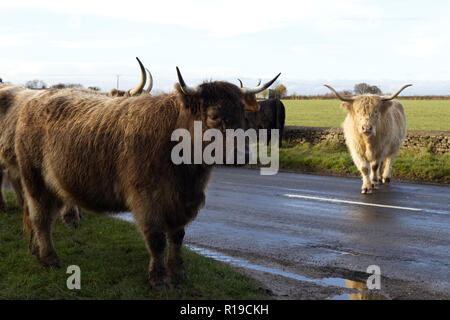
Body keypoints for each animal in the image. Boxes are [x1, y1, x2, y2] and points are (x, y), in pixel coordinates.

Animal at [15, 67, 280, 288]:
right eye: (214, 115)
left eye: (243, 114)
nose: (243, 154)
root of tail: (34, 100)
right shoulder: (147, 199)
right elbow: (157, 239)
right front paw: (159, 278)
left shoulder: (181, 202)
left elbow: (177, 237)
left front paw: (179, 272)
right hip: (34, 180)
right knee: (41, 218)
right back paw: (49, 258)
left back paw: (37, 251)